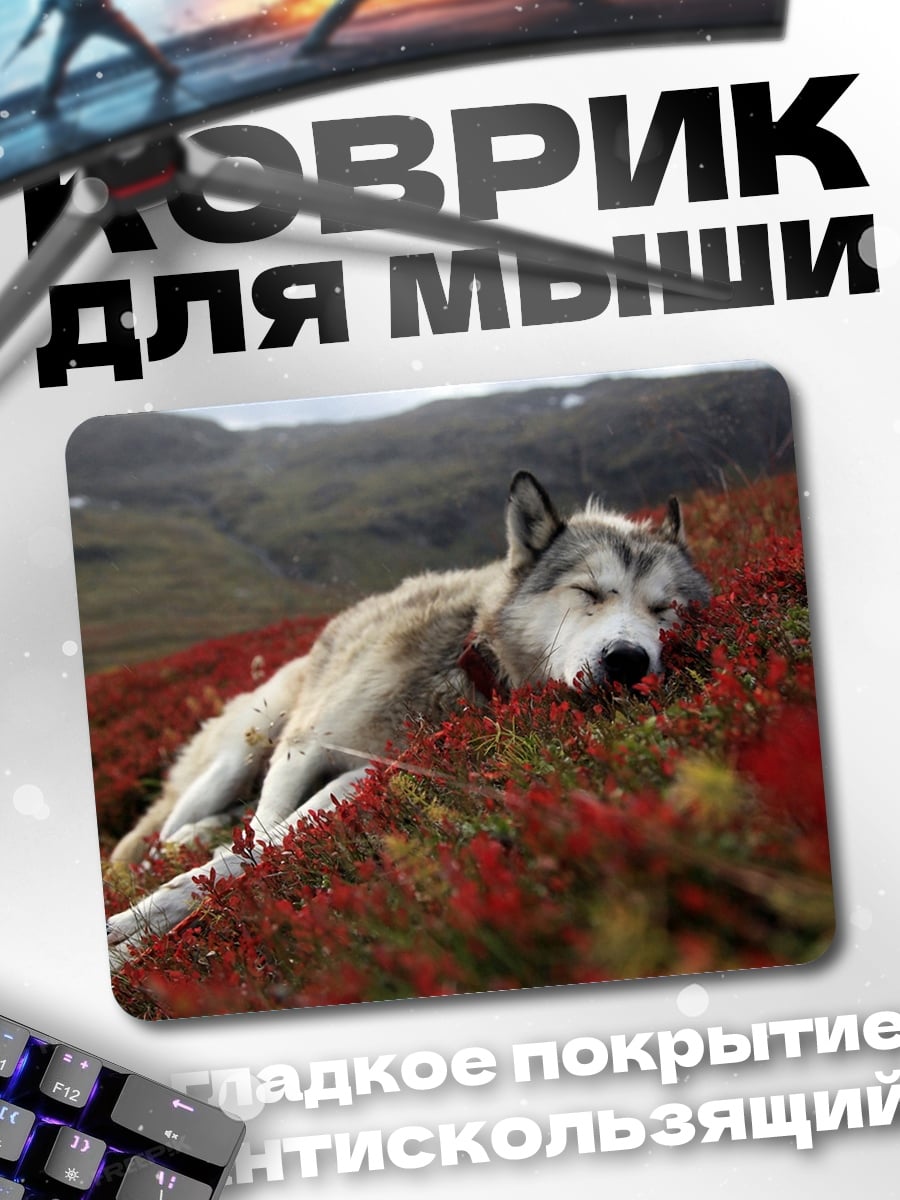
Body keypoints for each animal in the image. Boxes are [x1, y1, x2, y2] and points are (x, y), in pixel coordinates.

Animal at [106, 470, 710, 966]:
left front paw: (146, 932)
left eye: (665, 608)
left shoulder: (366, 776)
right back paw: (171, 846)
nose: (628, 661)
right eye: (587, 591)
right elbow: (256, 837)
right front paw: (144, 923)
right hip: (244, 750)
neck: (465, 665)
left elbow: (264, 844)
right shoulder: (304, 746)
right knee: (161, 833)